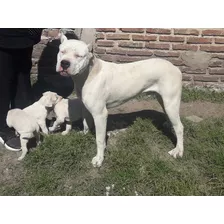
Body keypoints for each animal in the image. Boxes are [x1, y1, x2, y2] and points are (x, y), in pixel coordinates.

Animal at [56, 32, 184, 166]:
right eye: (62, 51)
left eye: (78, 56)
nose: (64, 63)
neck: (89, 74)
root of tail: (175, 67)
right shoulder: (85, 108)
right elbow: (85, 122)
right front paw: (84, 134)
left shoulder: (100, 114)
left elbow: (99, 139)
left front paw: (99, 159)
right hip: (164, 100)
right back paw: (168, 124)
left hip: (171, 102)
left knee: (180, 127)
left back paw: (178, 150)